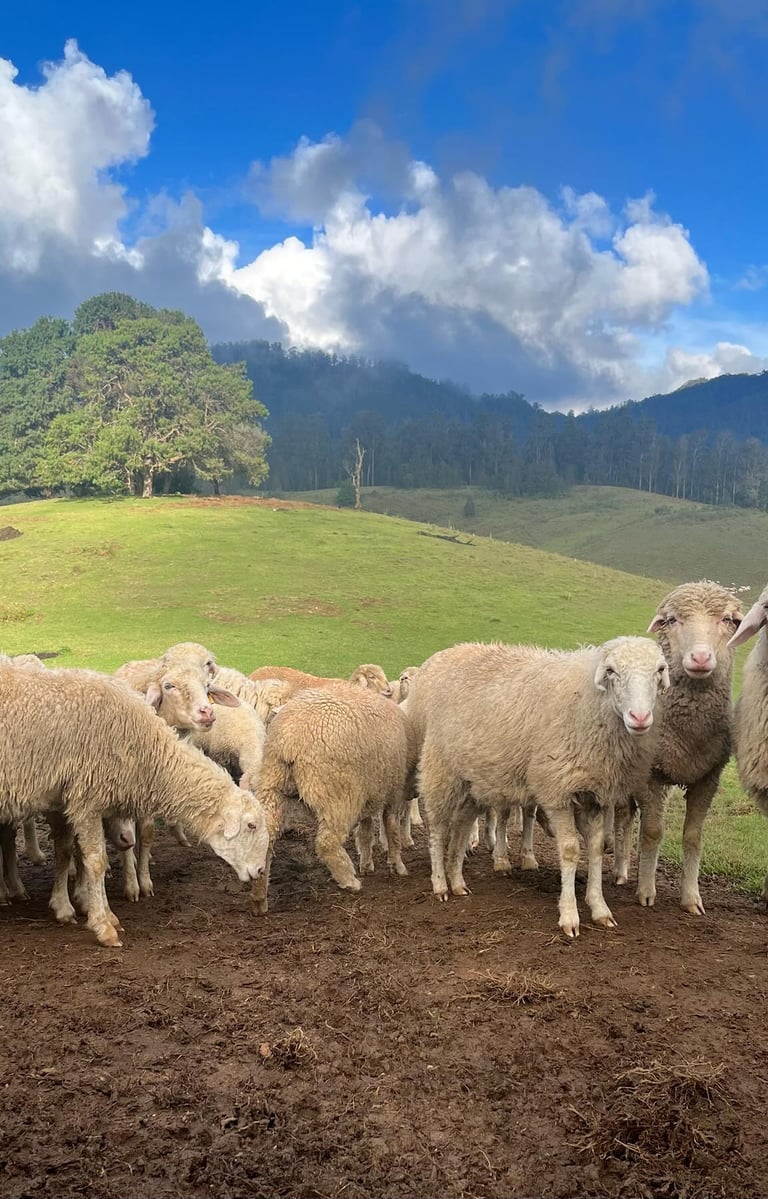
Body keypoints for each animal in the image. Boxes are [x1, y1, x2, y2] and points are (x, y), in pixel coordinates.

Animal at [0, 663, 268, 946]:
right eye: (251, 825)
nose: (260, 870)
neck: (146, 747)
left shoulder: (73, 800)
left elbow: (76, 855)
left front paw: (88, 911)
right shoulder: (86, 799)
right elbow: (96, 862)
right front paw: (103, 926)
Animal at [251, 684, 416, 914]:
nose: (415, 794)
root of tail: (290, 739)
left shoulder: (368, 794)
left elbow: (365, 832)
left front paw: (367, 864)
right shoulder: (393, 792)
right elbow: (391, 829)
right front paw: (397, 865)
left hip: (273, 785)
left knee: (266, 840)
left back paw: (259, 898)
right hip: (339, 795)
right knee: (326, 842)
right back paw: (349, 880)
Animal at [406, 637, 669, 938]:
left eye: (660, 670)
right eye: (611, 670)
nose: (639, 717)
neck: (589, 704)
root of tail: (443, 654)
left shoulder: (594, 795)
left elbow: (595, 848)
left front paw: (599, 907)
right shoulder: (557, 791)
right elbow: (570, 851)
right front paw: (569, 915)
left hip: (473, 781)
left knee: (461, 825)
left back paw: (457, 880)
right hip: (441, 767)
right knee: (438, 827)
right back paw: (440, 883)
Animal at [612, 581, 743, 914]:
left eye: (728, 620)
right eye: (672, 620)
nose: (700, 657)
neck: (690, 732)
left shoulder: (708, 778)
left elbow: (693, 837)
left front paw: (691, 898)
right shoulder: (651, 776)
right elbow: (653, 832)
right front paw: (646, 891)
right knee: (623, 818)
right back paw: (620, 871)